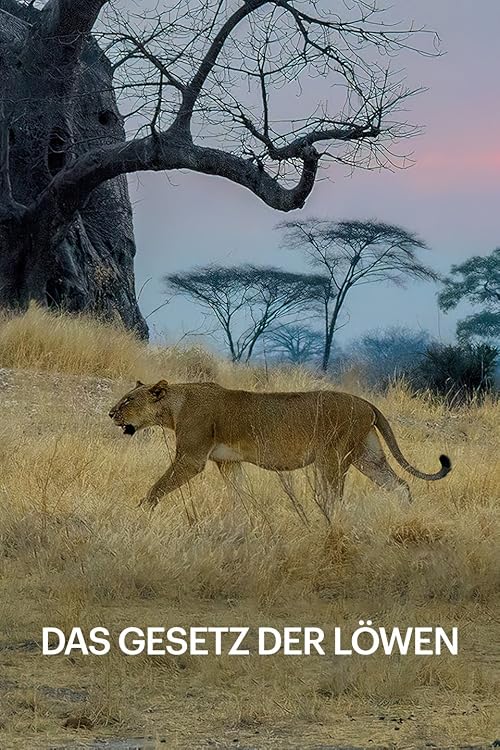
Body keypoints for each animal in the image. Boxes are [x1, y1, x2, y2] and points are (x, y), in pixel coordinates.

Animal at [109, 380, 451, 517]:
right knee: (400, 484)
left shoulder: (192, 458)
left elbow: (159, 485)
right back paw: (405, 514)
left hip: (332, 456)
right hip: (368, 456)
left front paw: (142, 510)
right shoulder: (228, 462)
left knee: (333, 498)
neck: (175, 406)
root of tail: (367, 403)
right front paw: (247, 518)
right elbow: (239, 493)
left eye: (127, 400)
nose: (110, 413)